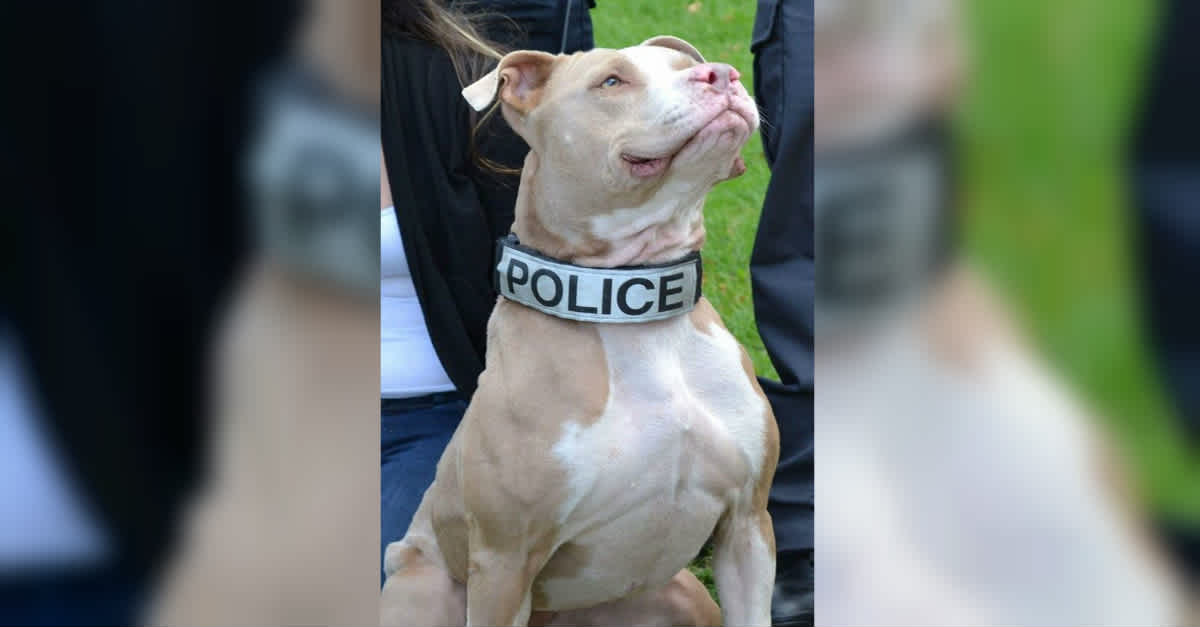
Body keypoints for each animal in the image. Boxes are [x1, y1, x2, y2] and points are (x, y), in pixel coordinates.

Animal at [379, 37, 782, 624]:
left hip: (681, 594)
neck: (631, 310)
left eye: (686, 66)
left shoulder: (747, 525)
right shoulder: (503, 561)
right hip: (428, 588)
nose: (722, 75)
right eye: (611, 82)